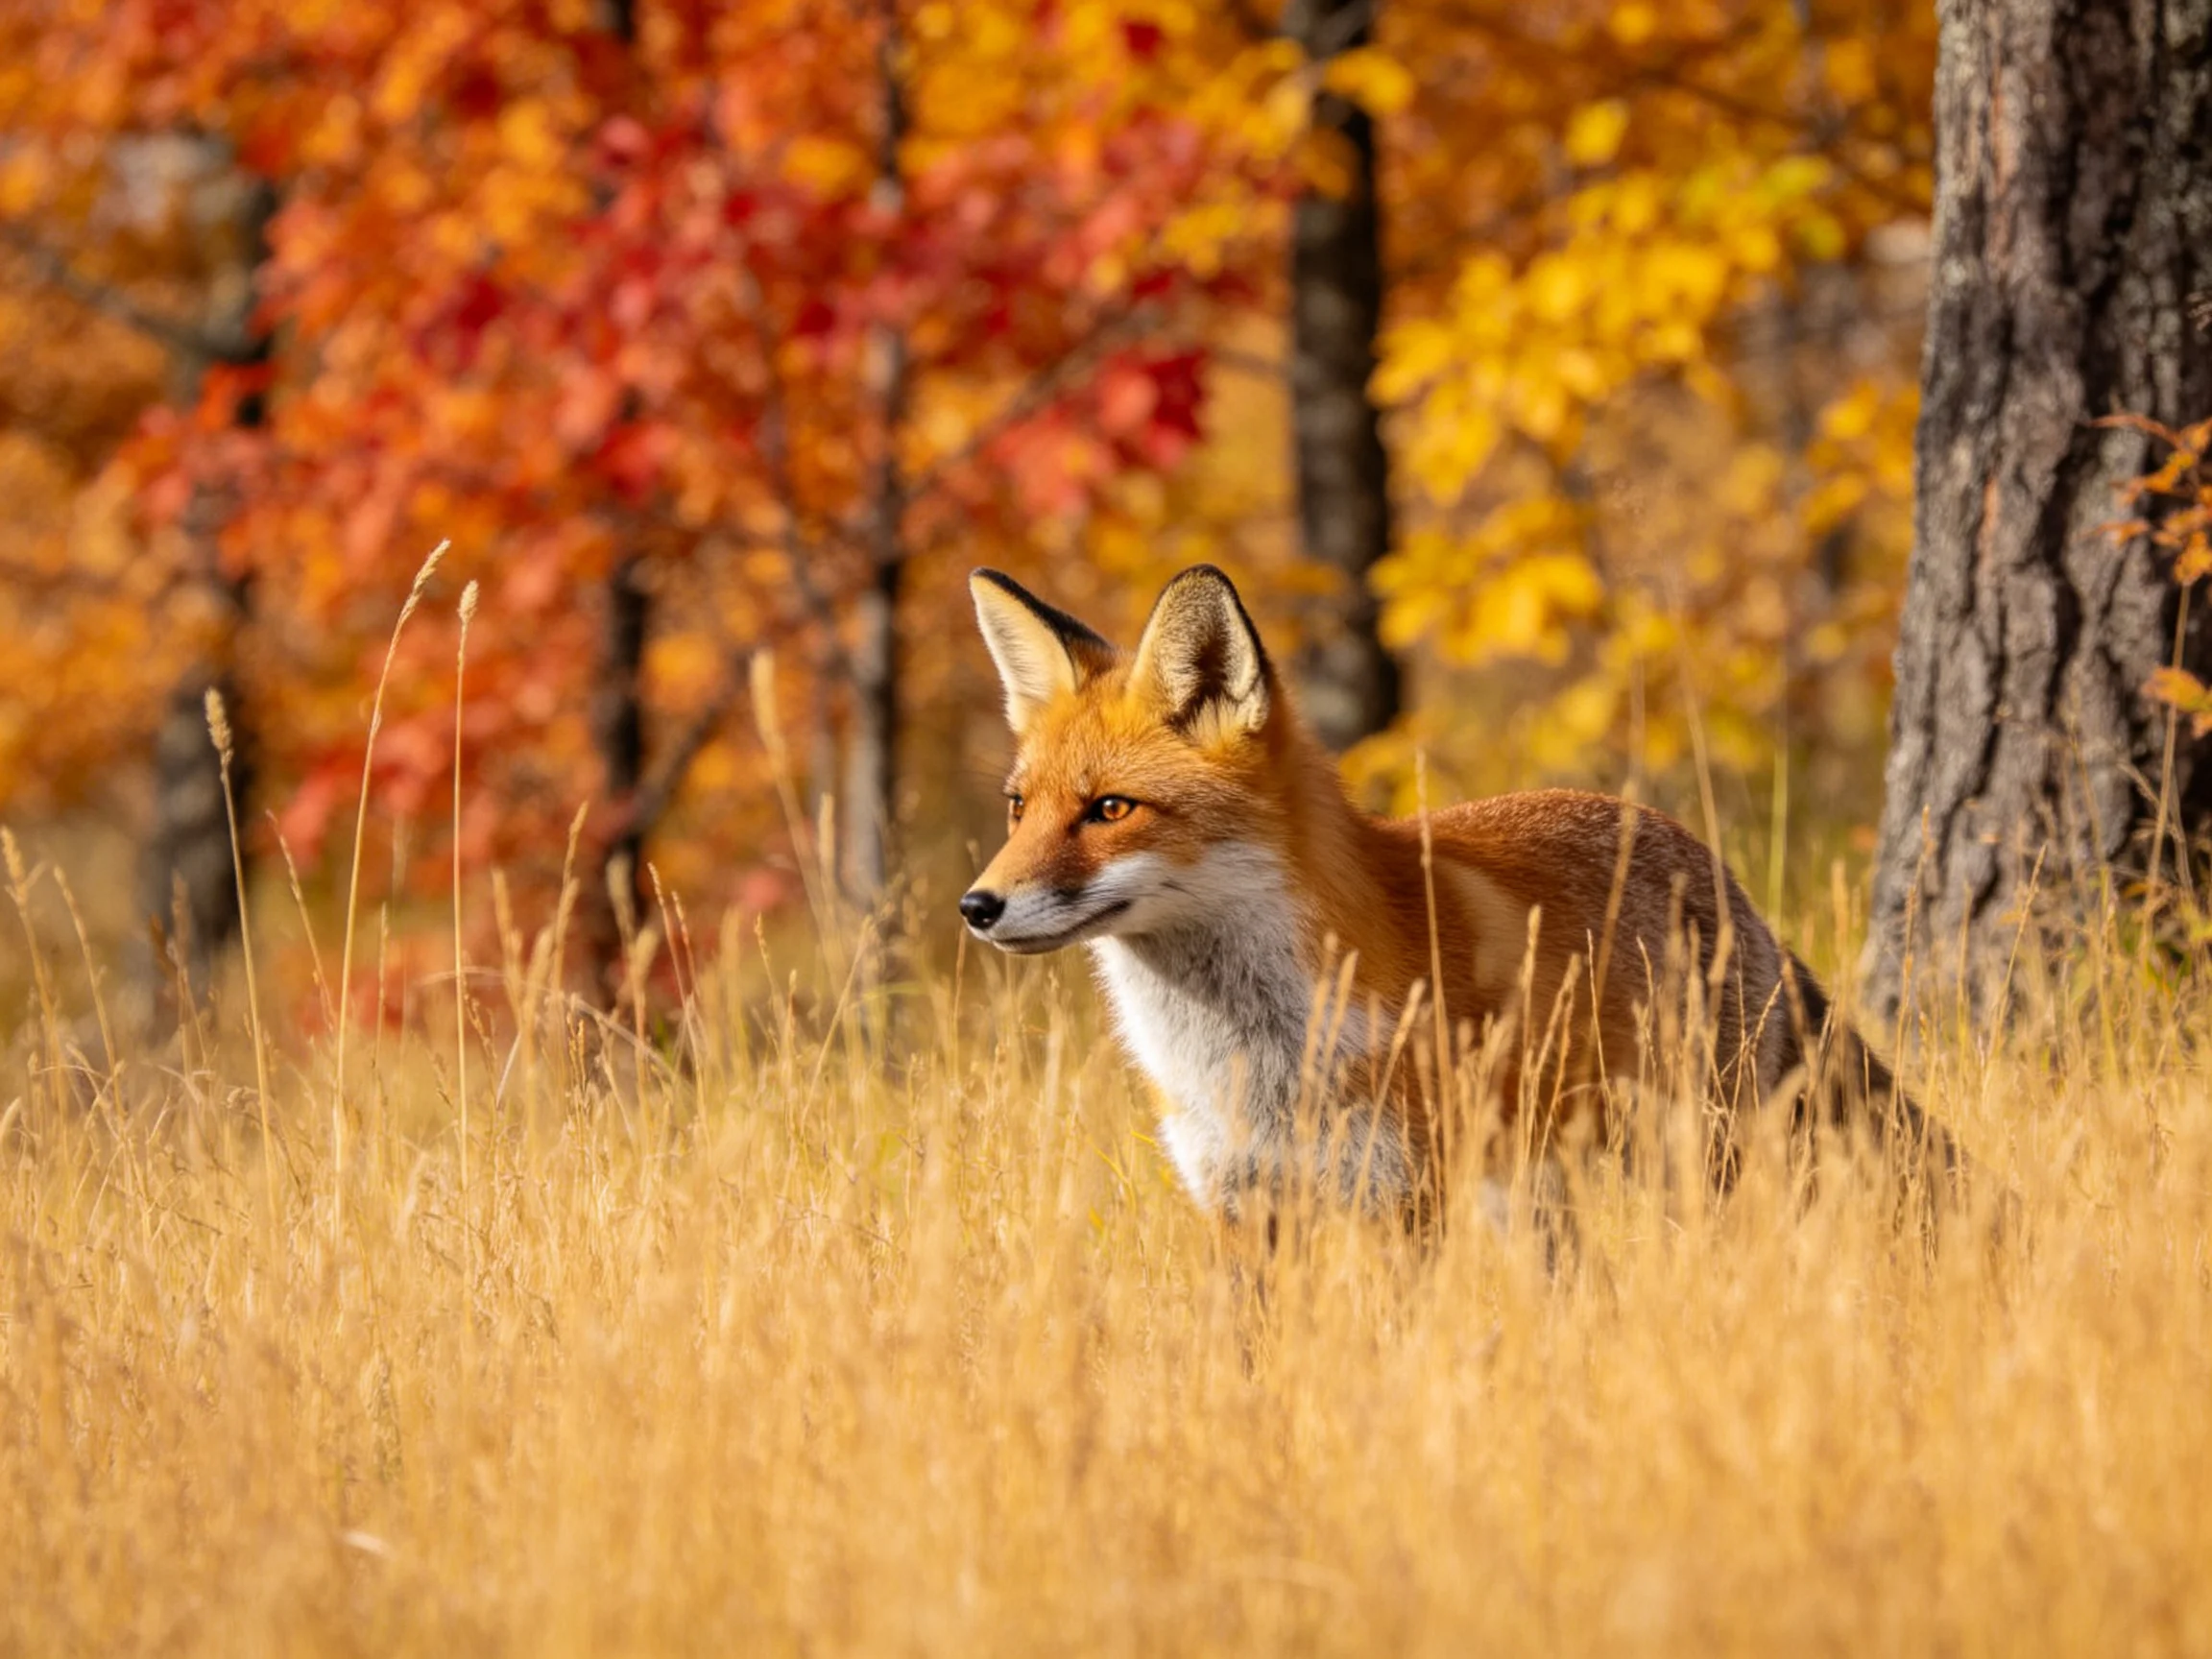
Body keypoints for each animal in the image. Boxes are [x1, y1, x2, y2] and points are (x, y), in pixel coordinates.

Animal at [960, 562, 1954, 1227]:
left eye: (1109, 809)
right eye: (1017, 807)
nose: (977, 907)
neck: (1253, 1054)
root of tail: (1699, 854)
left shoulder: (1411, 1199)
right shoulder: (1245, 1204)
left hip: (1693, 1154)